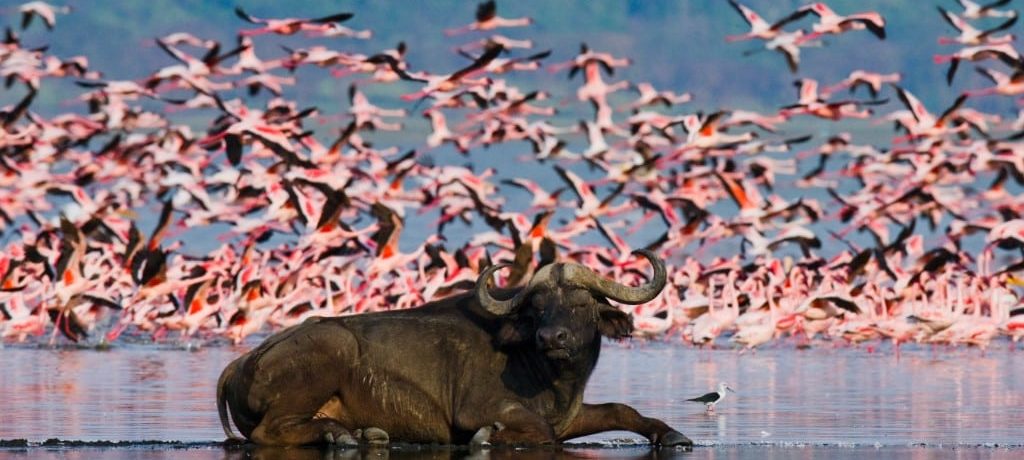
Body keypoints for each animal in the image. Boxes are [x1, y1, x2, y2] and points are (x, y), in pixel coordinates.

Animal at [219, 248, 692, 446]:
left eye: (581, 304)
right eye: (538, 308)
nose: (551, 338)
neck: (551, 377)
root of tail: (240, 363)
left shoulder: (570, 417)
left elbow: (622, 411)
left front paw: (672, 434)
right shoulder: (479, 409)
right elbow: (535, 431)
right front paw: (489, 437)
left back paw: (360, 433)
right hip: (329, 351)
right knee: (268, 432)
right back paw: (341, 437)